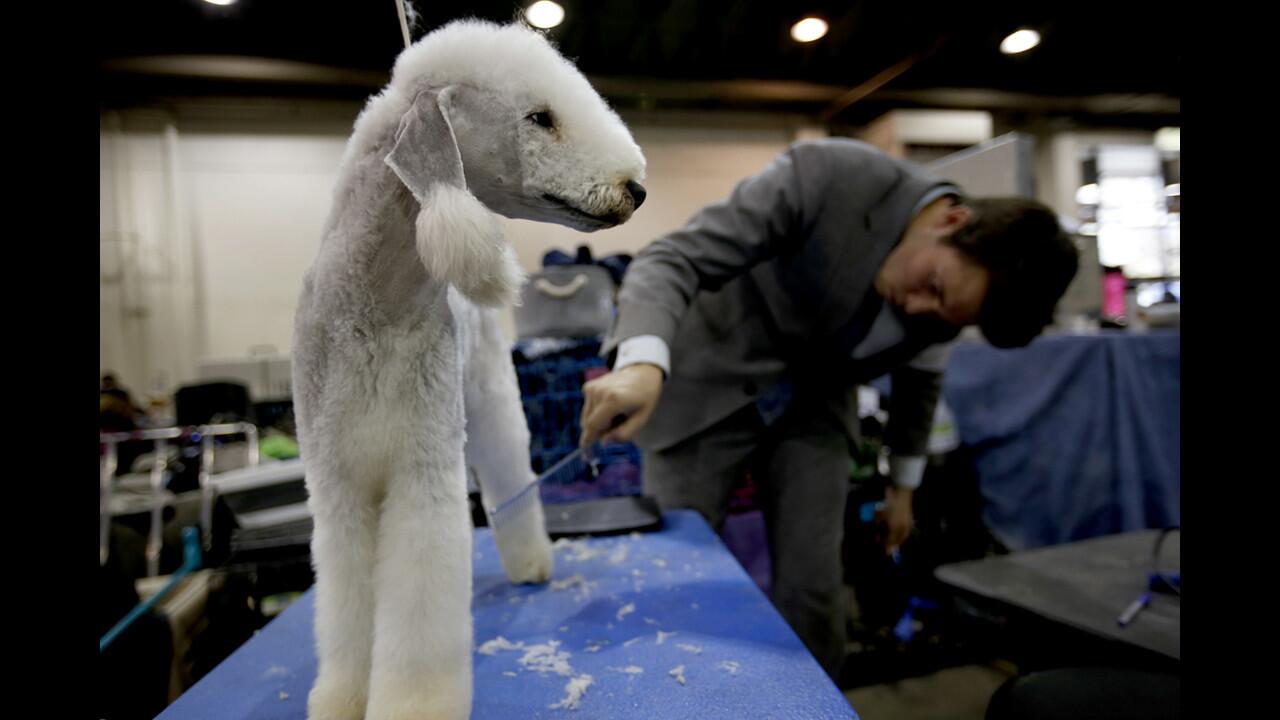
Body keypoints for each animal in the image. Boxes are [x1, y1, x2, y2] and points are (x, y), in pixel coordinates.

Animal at [293, 19, 645, 712]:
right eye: (540, 118)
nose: (637, 189)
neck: (374, 308)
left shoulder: (422, 470)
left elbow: (419, 606)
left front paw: (413, 706)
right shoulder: (337, 483)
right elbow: (346, 606)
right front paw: (343, 699)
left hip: (491, 401)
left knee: (511, 477)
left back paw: (532, 565)